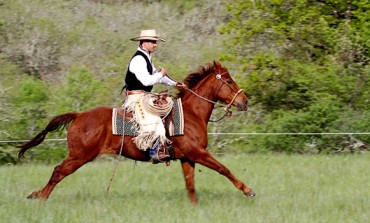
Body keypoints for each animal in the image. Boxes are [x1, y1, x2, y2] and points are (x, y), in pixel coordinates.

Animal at [17, 60, 254, 204]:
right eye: (229, 81)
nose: (245, 102)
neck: (191, 115)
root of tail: (79, 115)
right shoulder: (198, 153)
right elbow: (223, 169)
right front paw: (247, 190)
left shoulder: (188, 158)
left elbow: (190, 184)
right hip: (79, 156)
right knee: (58, 171)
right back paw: (40, 196)